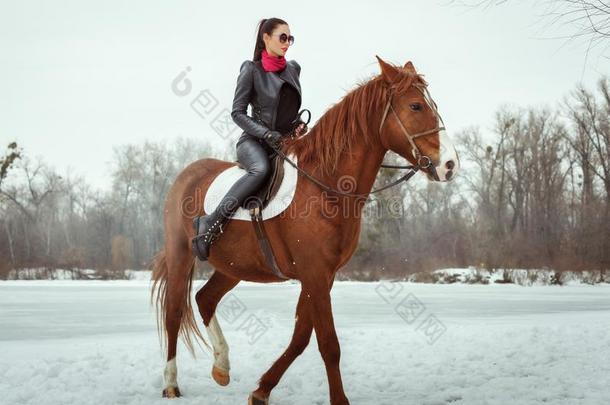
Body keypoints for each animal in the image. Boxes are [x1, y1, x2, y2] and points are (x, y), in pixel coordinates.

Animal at [151, 56, 456, 404]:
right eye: (416, 105)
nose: (450, 164)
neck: (327, 187)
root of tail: (187, 174)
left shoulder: (322, 276)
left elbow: (301, 338)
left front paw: (262, 389)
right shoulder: (314, 273)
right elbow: (328, 344)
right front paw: (339, 400)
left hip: (233, 266)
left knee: (205, 299)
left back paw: (222, 366)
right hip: (180, 255)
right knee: (174, 312)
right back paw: (171, 383)